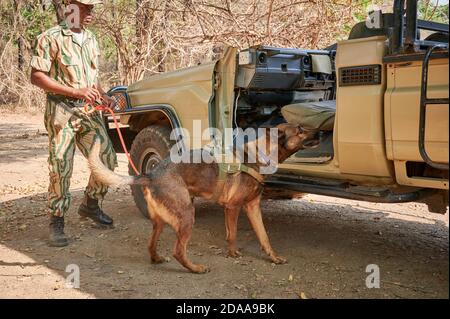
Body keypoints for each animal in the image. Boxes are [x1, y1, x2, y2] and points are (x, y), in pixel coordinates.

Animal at [88, 124, 316, 274]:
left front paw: (273, 257)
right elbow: (233, 234)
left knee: (151, 244)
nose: (321, 131)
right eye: (300, 130)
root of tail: (151, 174)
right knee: (178, 251)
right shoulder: (233, 207)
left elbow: (264, 236)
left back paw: (157, 258)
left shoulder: (252, 207)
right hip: (188, 214)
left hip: (160, 222)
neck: (260, 154)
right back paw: (195, 268)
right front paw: (233, 254)